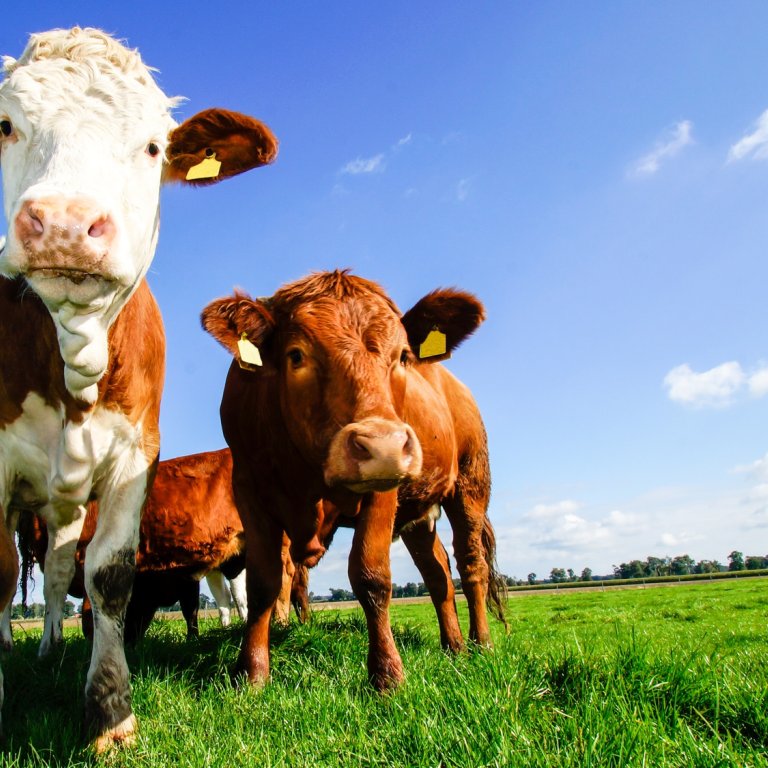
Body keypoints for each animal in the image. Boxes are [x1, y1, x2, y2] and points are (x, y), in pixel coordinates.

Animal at [0, 27, 277, 748]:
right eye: (5, 125)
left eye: (154, 147)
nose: (64, 223)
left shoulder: (134, 456)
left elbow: (109, 576)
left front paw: (110, 712)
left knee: (60, 571)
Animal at [201, 270, 505, 693]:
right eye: (297, 355)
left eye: (403, 356)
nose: (384, 444)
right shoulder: (248, 487)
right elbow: (262, 583)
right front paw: (252, 672)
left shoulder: (384, 487)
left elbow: (371, 576)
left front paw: (388, 675)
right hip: (418, 515)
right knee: (438, 572)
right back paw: (454, 646)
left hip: (471, 485)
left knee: (470, 562)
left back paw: (482, 644)